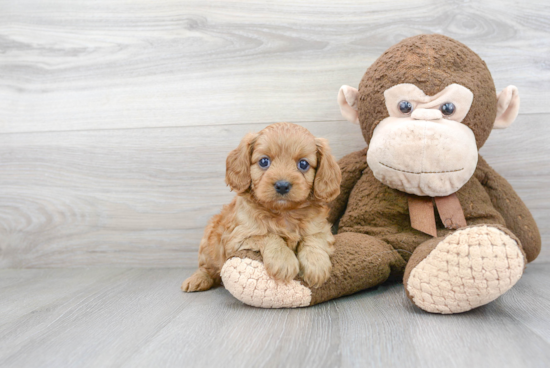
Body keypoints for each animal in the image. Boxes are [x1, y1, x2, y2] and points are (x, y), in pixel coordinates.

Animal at [183, 122, 342, 292]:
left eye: (303, 164)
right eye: (264, 162)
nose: (282, 185)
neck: (284, 214)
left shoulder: (322, 229)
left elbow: (313, 239)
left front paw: (316, 265)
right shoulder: (237, 237)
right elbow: (267, 235)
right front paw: (283, 261)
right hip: (208, 244)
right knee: (207, 268)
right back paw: (197, 280)